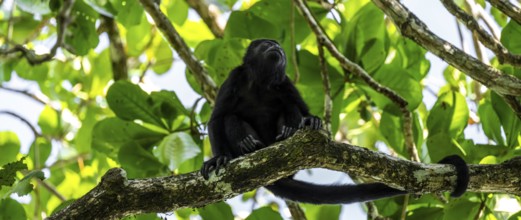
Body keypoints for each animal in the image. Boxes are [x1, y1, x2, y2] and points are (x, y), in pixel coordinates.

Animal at [199, 38, 468, 204]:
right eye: (267, 43)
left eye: (278, 46)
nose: (277, 47)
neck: (262, 82)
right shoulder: (235, 76)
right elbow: (217, 118)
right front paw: (218, 159)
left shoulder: (285, 82)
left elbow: (302, 109)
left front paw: (312, 122)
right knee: (231, 118)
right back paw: (247, 146)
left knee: (289, 108)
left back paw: (287, 132)